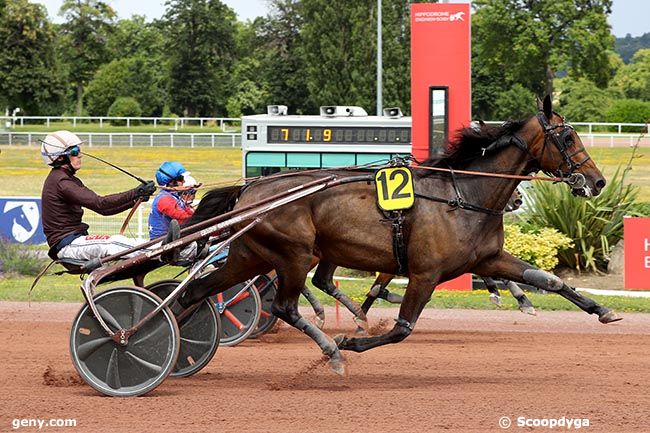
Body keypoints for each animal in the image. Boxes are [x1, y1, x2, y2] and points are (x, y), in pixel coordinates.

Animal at [182, 96, 616, 372]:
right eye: (568, 137)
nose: (597, 181)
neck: (464, 194)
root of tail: (250, 190)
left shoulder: (488, 258)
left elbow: (548, 280)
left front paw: (601, 310)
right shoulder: (424, 273)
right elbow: (402, 328)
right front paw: (352, 341)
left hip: (249, 255)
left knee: (197, 292)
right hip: (293, 254)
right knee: (284, 306)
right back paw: (332, 350)